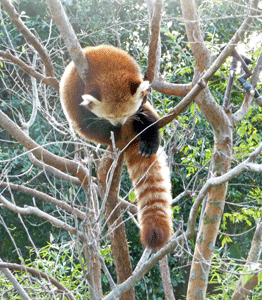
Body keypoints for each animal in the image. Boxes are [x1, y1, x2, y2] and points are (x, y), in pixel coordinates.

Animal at [60, 44, 173, 250]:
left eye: (127, 114)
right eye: (111, 117)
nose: (120, 124)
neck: (108, 72)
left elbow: (145, 111)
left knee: (149, 120)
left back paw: (148, 142)